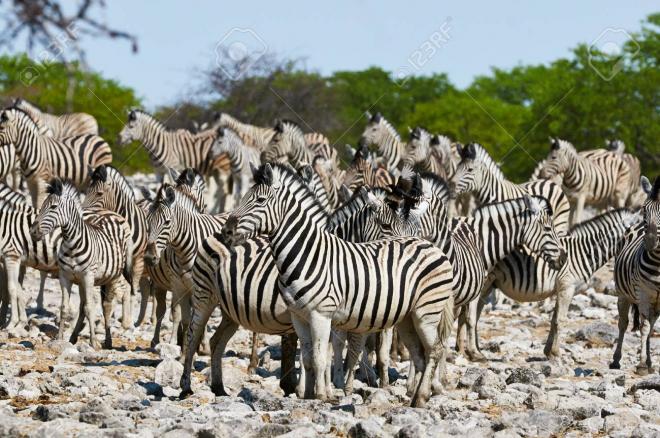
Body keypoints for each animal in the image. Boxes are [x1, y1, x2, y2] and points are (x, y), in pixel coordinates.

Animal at [29, 178, 132, 350]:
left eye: (53, 207)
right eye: (42, 206)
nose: (33, 232)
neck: (71, 244)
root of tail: (109, 213)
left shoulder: (88, 276)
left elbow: (90, 308)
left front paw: (93, 342)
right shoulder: (66, 277)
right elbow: (64, 308)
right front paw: (59, 338)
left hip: (113, 276)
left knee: (106, 306)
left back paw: (108, 341)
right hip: (83, 282)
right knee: (83, 306)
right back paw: (73, 337)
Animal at [83, 166, 149, 330]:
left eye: (99, 193)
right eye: (86, 191)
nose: (82, 212)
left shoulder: (137, 260)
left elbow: (131, 290)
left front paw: (128, 322)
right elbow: (122, 289)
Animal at [220, 163, 454, 408]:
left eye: (260, 200)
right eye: (243, 197)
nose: (226, 231)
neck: (307, 253)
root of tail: (431, 245)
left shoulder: (322, 315)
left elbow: (322, 356)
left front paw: (323, 395)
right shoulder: (299, 316)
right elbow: (308, 358)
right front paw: (309, 395)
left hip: (426, 312)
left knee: (435, 349)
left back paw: (422, 396)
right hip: (408, 317)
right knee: (419, 353)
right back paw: (416, 398)